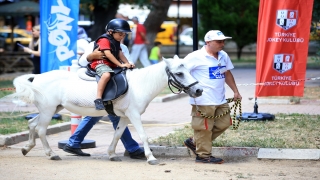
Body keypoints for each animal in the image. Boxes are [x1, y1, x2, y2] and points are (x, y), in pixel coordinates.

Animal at [8, 55, 202, 165]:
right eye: (179, 73)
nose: (199, 90)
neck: (139, 84)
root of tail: (37, 78)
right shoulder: (134, 115)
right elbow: (143, 136)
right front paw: (151, 158)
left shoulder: (125, 116)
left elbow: (117, 134)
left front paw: (112, 154)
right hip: (48, 111)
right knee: (41, 129)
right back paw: (51, 154)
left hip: (49, 110)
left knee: (33, 124)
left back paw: (27, 148)